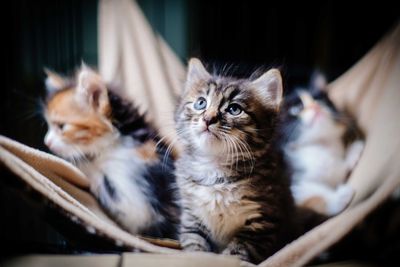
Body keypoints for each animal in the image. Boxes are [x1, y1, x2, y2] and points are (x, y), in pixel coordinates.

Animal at [176, 58, 296, 264]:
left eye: (234, 109)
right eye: (201, 103)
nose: (208, 119)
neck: (216, 167)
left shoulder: (263, 220)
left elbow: (238, 251)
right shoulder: (192, 216)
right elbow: (195, 245)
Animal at [280, 72, 364, 217]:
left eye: (318, 100)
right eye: (296, 109)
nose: (316, 107)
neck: (320, 143)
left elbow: (340, 171)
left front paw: (353, 152)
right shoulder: (291, 186)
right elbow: (313, 195)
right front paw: (338, 198)